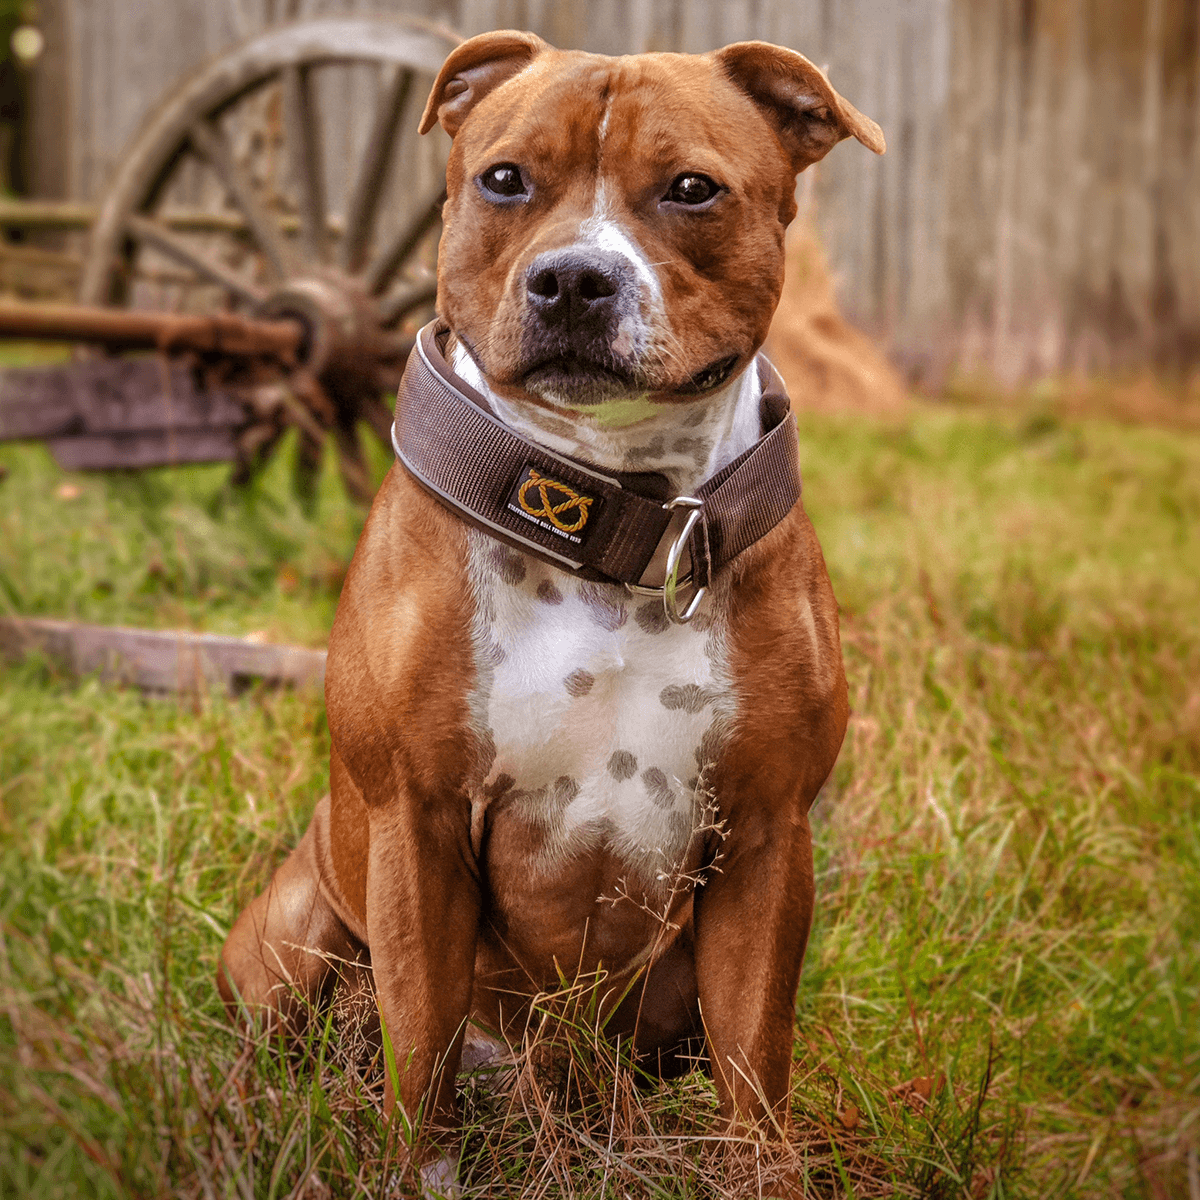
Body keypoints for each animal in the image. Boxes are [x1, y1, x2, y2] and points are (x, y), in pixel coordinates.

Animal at [220, 30, 883, 1200]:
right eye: (504, 179)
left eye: (693, 189)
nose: (575, 276)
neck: (611, 517)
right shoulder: (418, 825)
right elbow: (422, 1041)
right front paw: (425, 1171)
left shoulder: (766, 840)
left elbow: (757, 1062)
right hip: (298, 932)